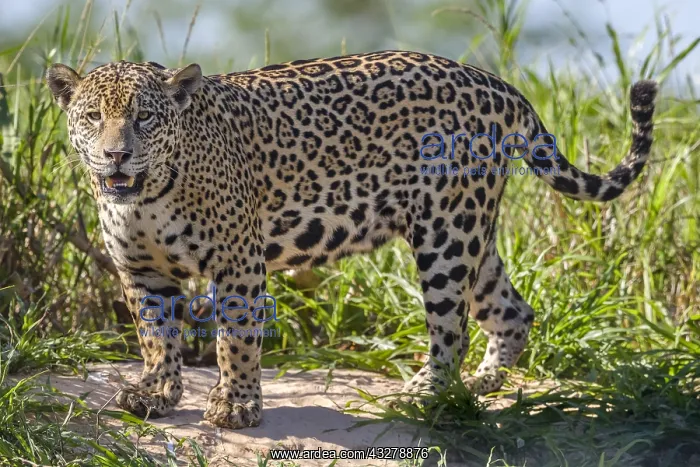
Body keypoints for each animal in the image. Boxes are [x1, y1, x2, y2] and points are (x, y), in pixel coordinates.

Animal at [46, 50, 657, 429]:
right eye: (93, 116)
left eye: (145, 118)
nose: (116, 154)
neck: (146, 195)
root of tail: (501, 86)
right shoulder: (141, 271)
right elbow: (156, 337)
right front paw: (155, 392)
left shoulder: (239, 262)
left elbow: (236, 339)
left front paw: (236, 405)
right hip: (472, 233)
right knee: (512, 310)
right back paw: (484, 381)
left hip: (447, 233)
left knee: (452, 327)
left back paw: (427, 392)